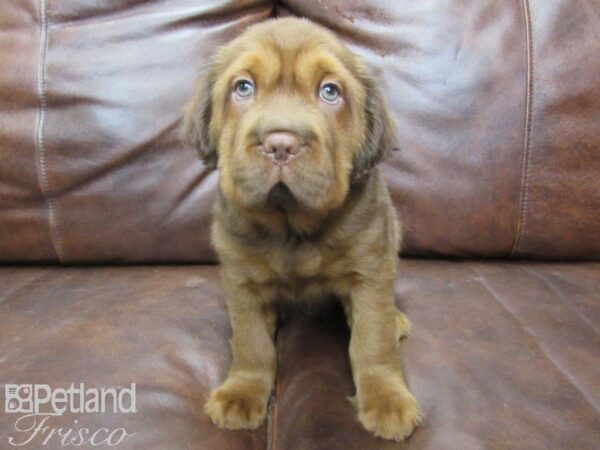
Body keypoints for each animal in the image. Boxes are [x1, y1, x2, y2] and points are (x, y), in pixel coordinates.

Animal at [183, 18, 422, 442]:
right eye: (243, 87)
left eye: (330, 92)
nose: (281, 143)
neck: (291, 225)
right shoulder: (242, 281)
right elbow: (252, 344)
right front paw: (242, 393)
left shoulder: (371, 271)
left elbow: (371, 342)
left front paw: (387, 399)